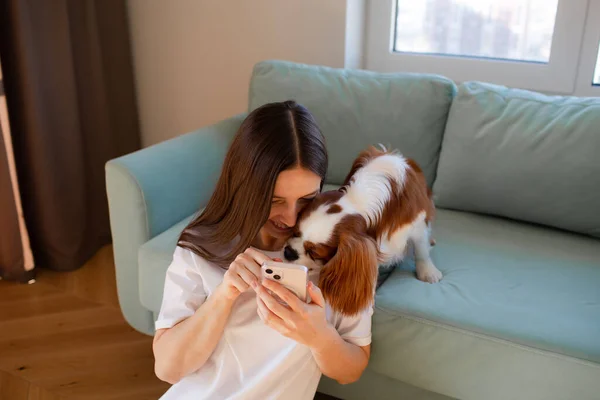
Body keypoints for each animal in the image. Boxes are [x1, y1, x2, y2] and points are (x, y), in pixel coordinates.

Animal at [282, 145, 440, 318]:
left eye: (314, 252)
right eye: (295, 233)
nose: (288, 252)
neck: (356, 201)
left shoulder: (416, 221)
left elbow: (421, 247)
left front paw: (428, 272)